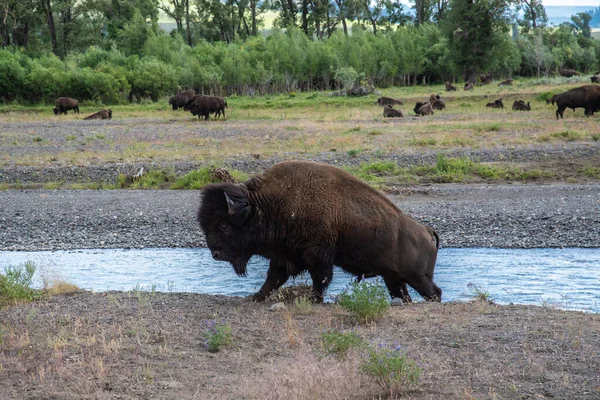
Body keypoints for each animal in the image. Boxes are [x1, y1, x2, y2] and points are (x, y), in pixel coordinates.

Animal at [197, 159, 440, 304]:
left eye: (224, 225)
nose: (215, 254)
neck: (268, 205)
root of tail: (427, 231)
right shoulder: (283, 256)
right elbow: (273, 278)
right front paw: (256, 296)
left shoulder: (318, 256)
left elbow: (319, 278)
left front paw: (314, 300)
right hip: (393, 277)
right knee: (404, 294)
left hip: (417, 278)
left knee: (434, 292)